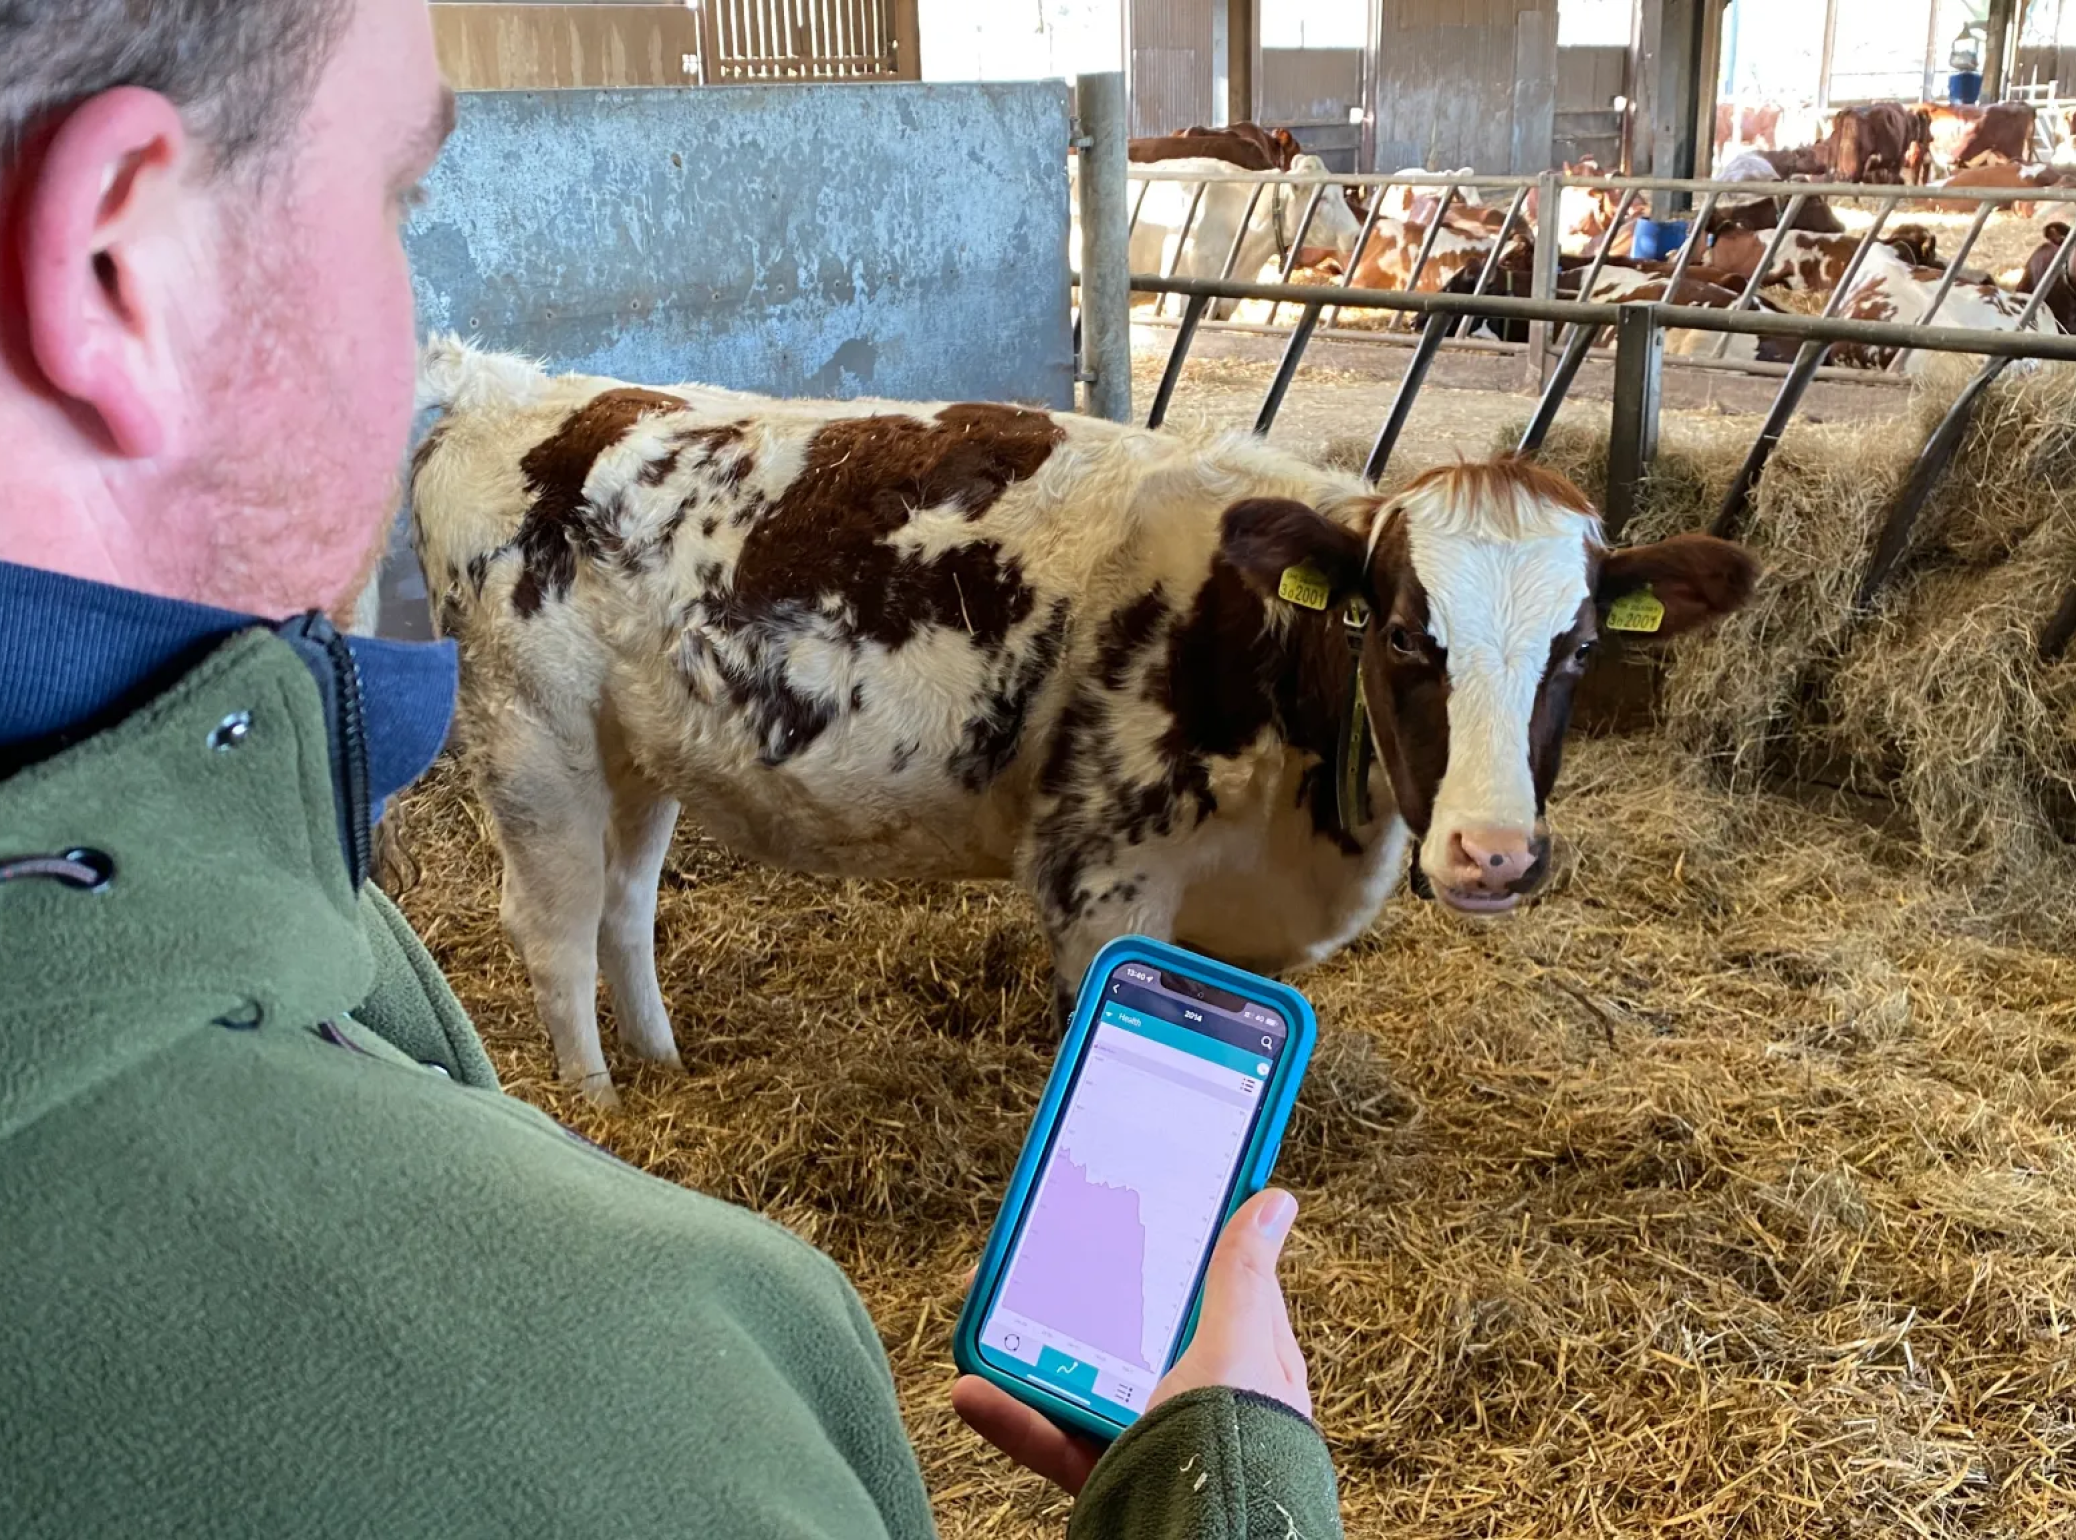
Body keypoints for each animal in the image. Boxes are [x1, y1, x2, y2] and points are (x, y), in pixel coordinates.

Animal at [408, 337, 1758, 1101]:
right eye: (1403, 633)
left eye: (1578, 649)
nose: (1493, 854)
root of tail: (519, 391)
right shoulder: (1100, 878)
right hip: (533, 742)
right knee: (552, 926)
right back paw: (595, 1102)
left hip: (638, 752)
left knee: (624, 909)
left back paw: (660, 1063)